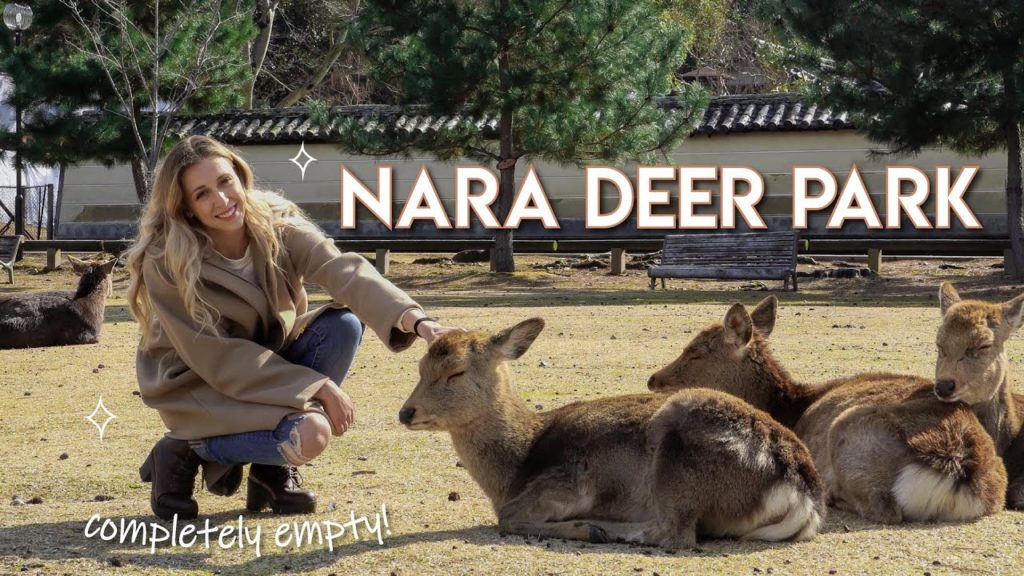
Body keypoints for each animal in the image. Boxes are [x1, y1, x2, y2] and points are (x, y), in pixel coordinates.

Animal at [399, 318, 826, 549]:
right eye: (419, 367)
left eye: (455, 372)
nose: (406, 412)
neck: (512, 468)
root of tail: (802, 491)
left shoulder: (565, 480)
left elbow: (507, 517)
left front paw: (585, 526)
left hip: (679, 463)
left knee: (674, 533)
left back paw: (608, 529)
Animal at [648, 296, 1007, 524]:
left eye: (695, 352)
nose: (653, 380)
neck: (790, 405)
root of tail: (957, 466)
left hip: (850, 433)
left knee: (884, 510)